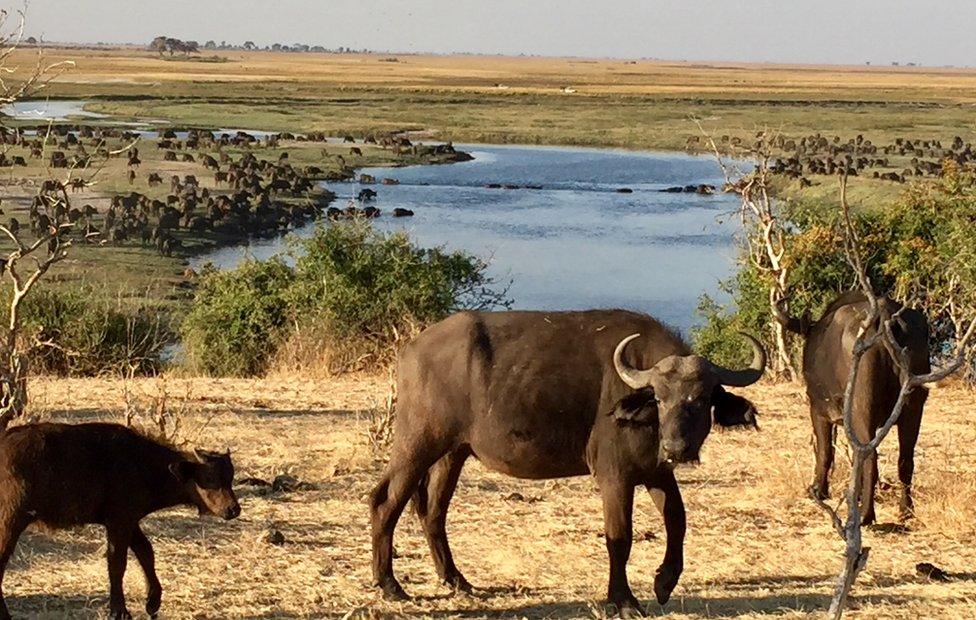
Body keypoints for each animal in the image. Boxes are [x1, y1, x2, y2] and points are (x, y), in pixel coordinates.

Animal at [370, 310, 768, 616]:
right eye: (659, 397)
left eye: (700, 399)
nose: (677, 448)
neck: (646, 420)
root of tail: (411, 349)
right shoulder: (615, 477)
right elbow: (619, 537)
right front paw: (622, 600)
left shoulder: (657, 472)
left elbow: (678, 522)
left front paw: (665, 581)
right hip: (418, 442)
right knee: (386, 500)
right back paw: (390, 585)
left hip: (453, 452)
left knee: (433, 511)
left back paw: (456, 580)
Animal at [776, 290, 932, 524]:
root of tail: (883, 317)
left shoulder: (819, 411)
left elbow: (825, 451)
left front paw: (818, 490)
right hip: (913, 408)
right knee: (905, 460)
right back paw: (905, 510)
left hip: (862, 409)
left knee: (870, 456)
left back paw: (866, 514)